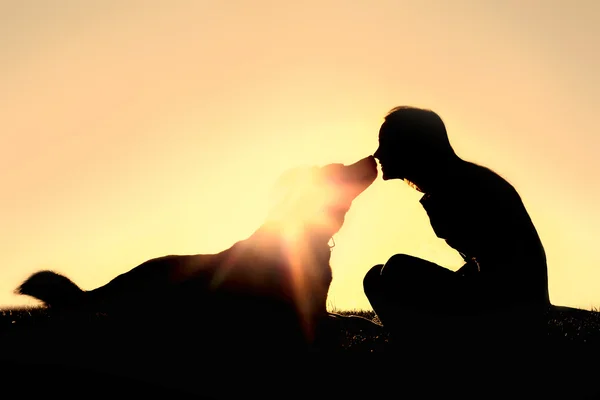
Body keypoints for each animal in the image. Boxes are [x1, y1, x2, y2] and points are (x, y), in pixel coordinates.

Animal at [16, 155, 378, 348]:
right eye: (340, 169)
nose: (371, 158)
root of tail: (114, 283)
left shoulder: (318, 310)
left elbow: (354, 320)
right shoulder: (300, 318)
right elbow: (338, 326)